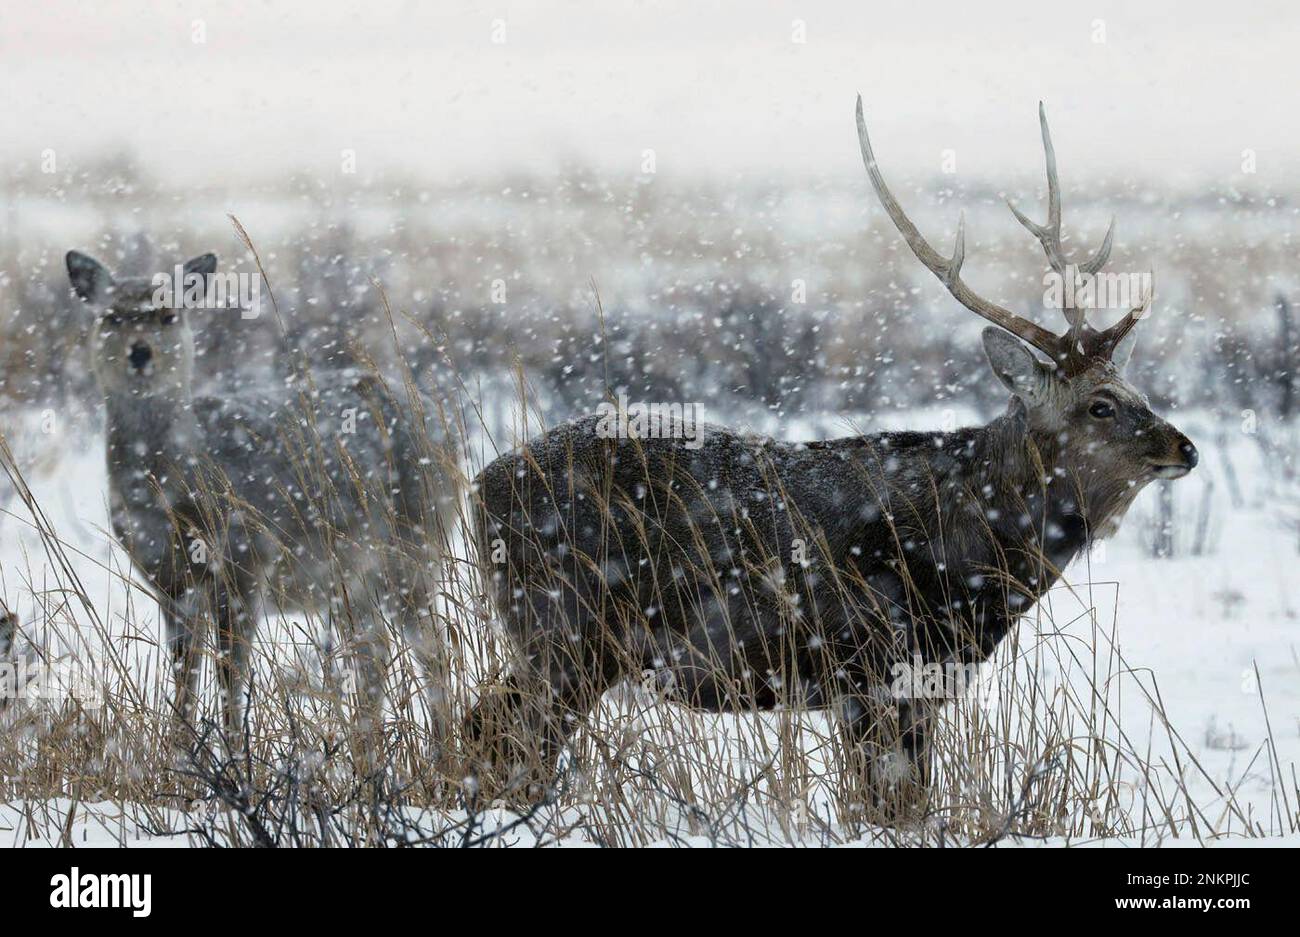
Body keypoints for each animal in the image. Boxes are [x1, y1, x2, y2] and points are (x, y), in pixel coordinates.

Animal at [65, 251, 461, 754]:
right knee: (375, 653)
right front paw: (181, 751)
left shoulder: (248, 556)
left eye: (169, 314)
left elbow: (231, 674)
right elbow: (184, 676)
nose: (140, 353)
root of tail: (446, 427)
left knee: (434, 648)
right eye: (111, 316)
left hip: (414, 543)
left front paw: (236, 757)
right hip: (354, 576)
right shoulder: (168, 578)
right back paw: (366, 751)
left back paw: (440, 753)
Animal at [466, 99, 1199, 811]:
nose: (1185, 447)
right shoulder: (875, 668)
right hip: (565, 631)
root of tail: (479, 486)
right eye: (1100, 404)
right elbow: (892, 806)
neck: (977, 557)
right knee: (497, 736)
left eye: (1138, 389)